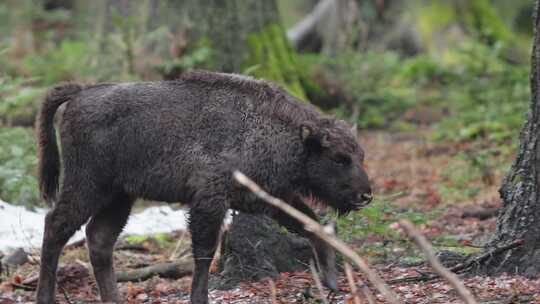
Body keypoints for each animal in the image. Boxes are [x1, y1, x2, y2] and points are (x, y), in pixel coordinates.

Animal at [34, 70, 372, 302]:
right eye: (339, 158)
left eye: (360, 155)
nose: (365, 195)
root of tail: (81, 92)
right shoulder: (210, 199)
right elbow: (205, 251)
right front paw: (199, 297)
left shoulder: (272, 197)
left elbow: (311, 223)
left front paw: (330, 278)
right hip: (87, 187)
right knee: (56, 225)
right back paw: (45, 296)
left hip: (119, 197)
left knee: (99, 239)